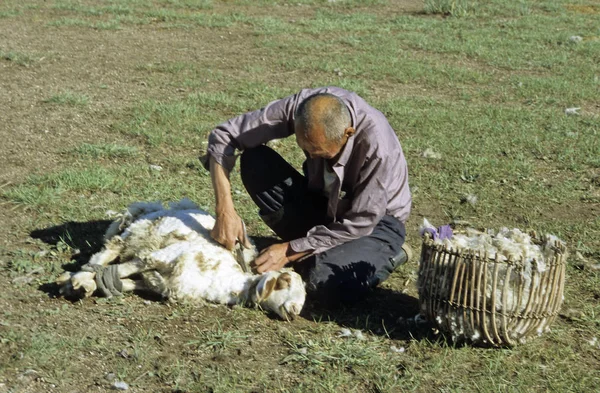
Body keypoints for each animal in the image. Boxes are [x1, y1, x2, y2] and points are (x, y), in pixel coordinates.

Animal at [56, 198, 308, 320]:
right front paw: (75, 282)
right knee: (107, 251)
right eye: (285, 282)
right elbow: (122, 270)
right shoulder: (157, 257)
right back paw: (79, 279)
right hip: (138, 233)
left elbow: (124, 281)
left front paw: (96, 284)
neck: (221, 278)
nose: (296, 310)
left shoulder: (157, 283)